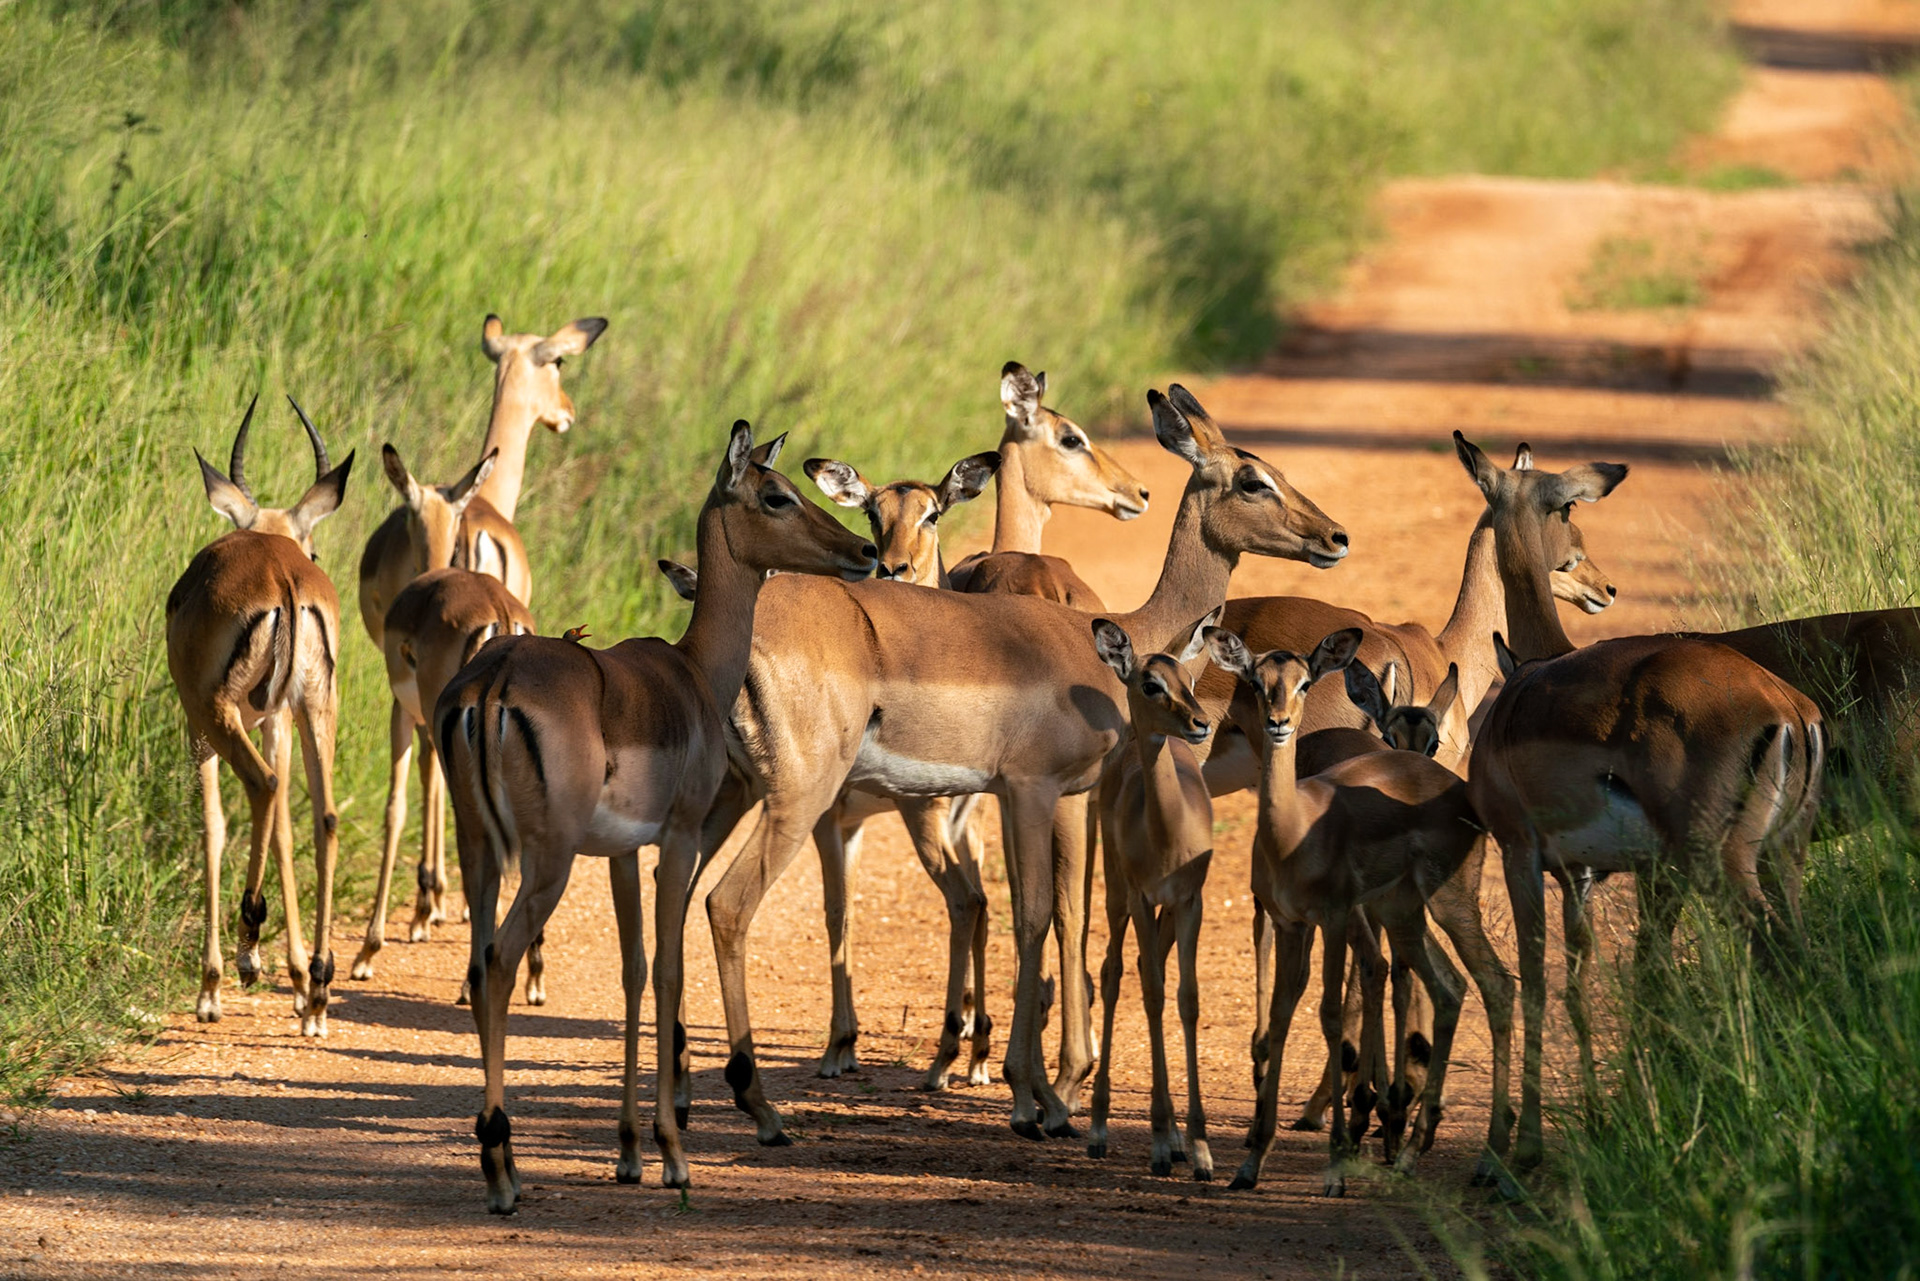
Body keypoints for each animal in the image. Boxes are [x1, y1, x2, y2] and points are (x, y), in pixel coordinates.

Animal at [166, 395, 354, 1036]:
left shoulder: (197, 726)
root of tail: (282, 575)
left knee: (263, 786)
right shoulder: (276, 719)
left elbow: (214, 826)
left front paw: (210, 989)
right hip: (315, 705)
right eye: (316, 545)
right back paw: (319, 988)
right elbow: (284, 832)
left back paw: (248, 950)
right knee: (324, 815)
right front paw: (298, 982)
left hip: (217, 716)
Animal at [435, 420, 876, 1208]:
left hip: (478, 846)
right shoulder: (677, 838)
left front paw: (631, 1150)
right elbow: (670, 967)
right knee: (502, 961)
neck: (693, 672)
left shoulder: (619, 853)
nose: (863, 552)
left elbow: (633, 968)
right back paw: (502, 1169)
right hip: (546, 862)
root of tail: (492, 681)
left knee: (480, 967)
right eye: (776, 494)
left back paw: (500, 1157)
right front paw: (674, 1153)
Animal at [699, 385, 1345, 1151]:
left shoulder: (1040, 796)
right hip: (801, 796)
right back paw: (765, 1113)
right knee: (728, 904)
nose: (1335, 537)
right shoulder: (1037, 790)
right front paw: (1033, 1096)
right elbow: (1038, 913)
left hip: (727, 799)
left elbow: (1055, 911)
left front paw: (1041, 1089)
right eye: (1253, 479)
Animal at [1203, 625, 1476, 1196]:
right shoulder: (1316, 917)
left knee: (1390, 973)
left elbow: (1363, 990)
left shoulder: (1348, 914)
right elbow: (1308, 1001)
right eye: (1255, 681)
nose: (1278, 722)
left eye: (1435, 741)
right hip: (1351, 915)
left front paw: (1372, 1120)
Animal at [1457, 431, 1824, 1176]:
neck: (1530, 674)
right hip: (1781, 858)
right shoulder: (1602, 874)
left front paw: (1515, 1151)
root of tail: (1789, 710)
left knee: (1774, 952)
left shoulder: (1520, 852)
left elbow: (1534, 980)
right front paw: (1612, 1115)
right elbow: (1613, 983)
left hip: (1722, 864)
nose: (1604, 586)